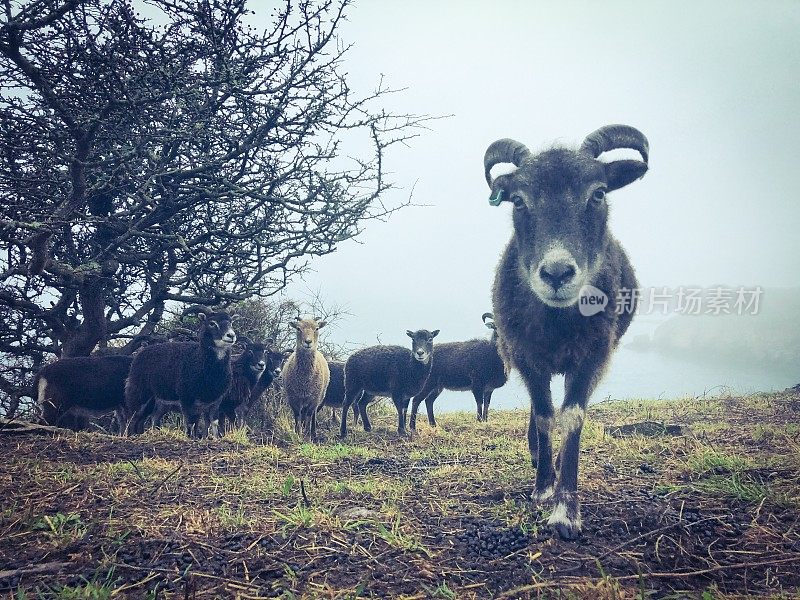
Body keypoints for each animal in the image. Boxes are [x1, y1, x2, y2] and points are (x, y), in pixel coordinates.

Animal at [482, 123, 648, 540]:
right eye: (518, 200)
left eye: (599, 193)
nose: (557, 274)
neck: (556, 321)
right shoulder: (525, 355)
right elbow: (544, 416)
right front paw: (543, 489)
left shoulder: (593, 353)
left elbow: (572, 418)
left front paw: (565, 511)